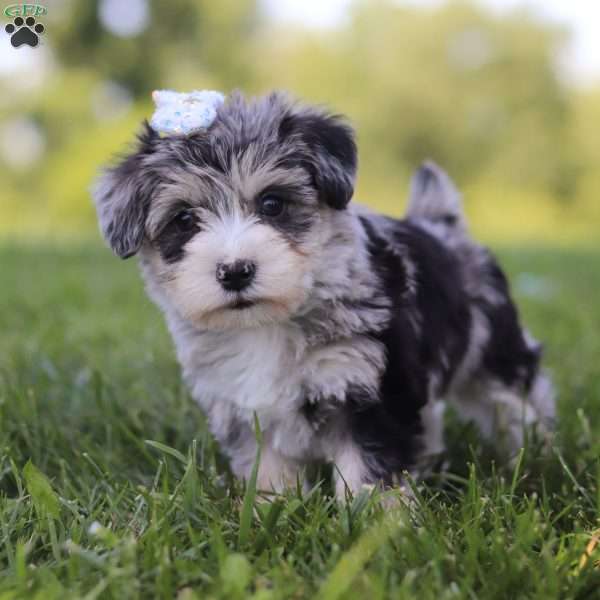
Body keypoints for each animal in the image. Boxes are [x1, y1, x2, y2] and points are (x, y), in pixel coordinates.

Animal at [91, 92, 556, 496]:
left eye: (272, 204)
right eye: (184, 220)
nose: (235, 271)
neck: (267, 323)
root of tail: (439, 225)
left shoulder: (367, 385)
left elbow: (369, 467)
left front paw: (378, 526)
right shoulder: (244, 402)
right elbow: (269, 469)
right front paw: (273, 511)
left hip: (493, 350)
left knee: (516, 398)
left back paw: (535, 457)